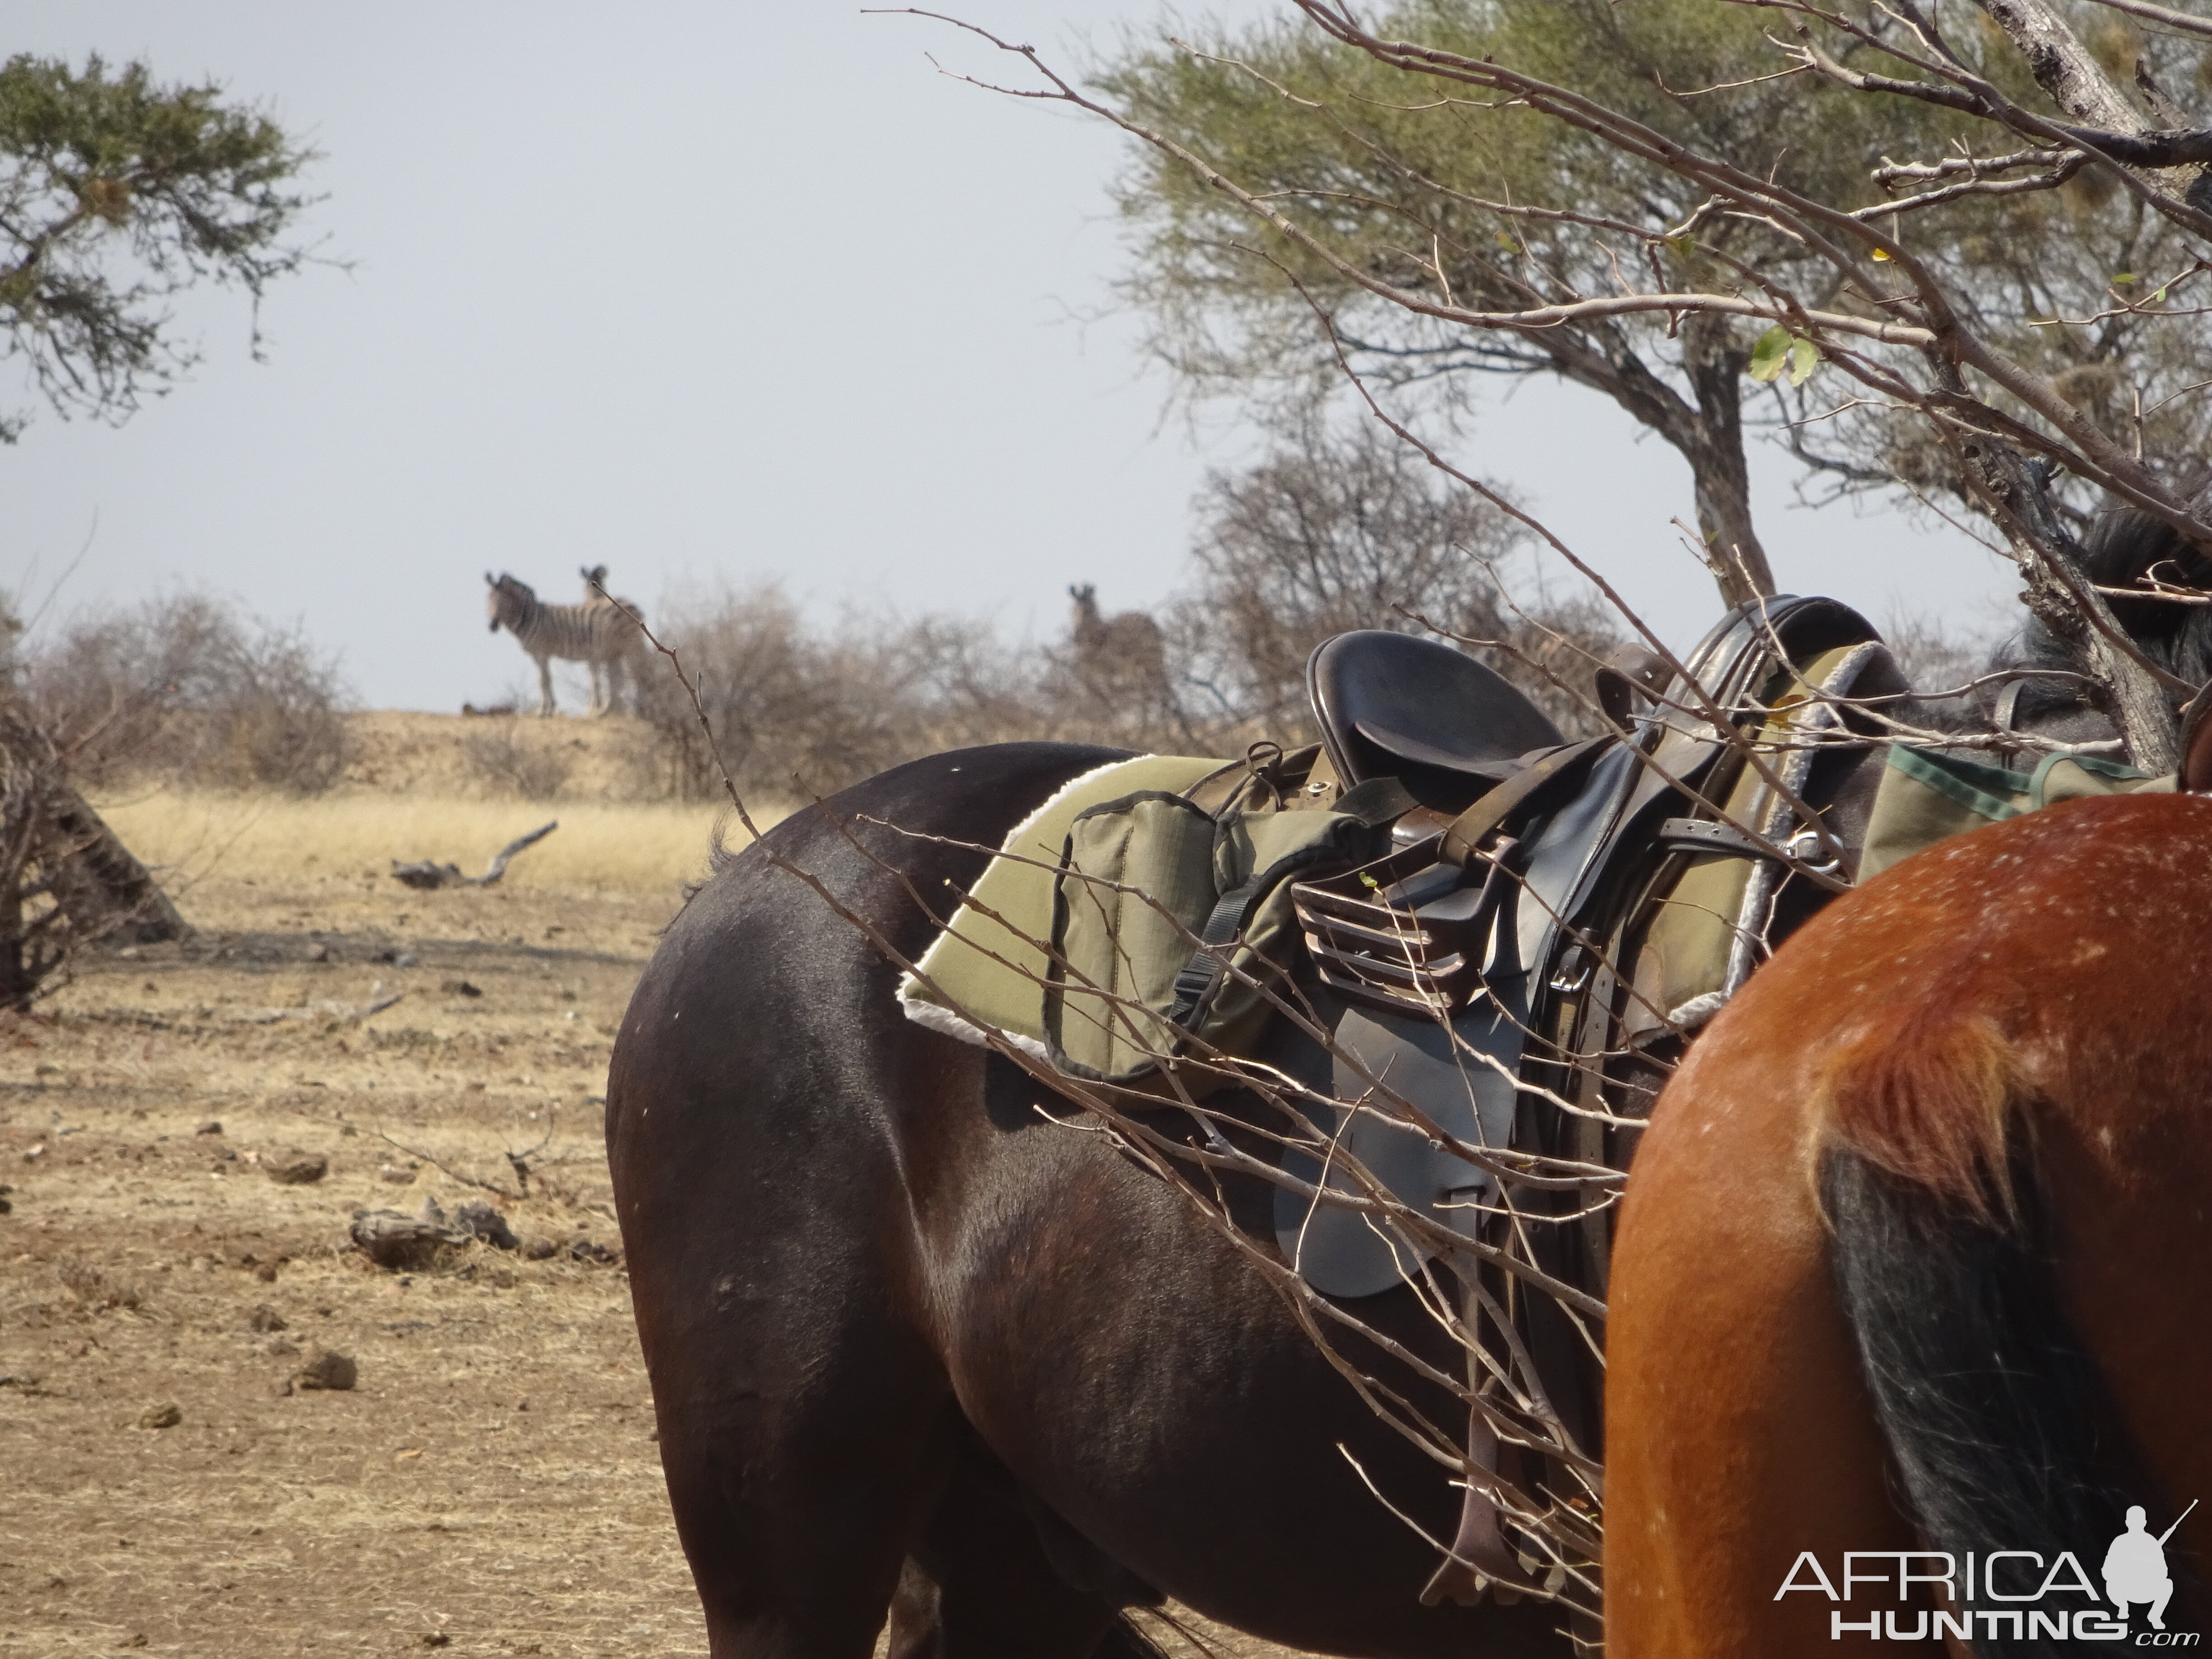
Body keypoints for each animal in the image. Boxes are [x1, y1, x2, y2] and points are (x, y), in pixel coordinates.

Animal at [487, 571, 646, 717]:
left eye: (504, 601)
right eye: (488, 600)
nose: (492, 627)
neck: (531, 617)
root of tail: (635, 606)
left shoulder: (541, 652)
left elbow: (544, 681)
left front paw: (544, 711)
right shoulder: (538, 656)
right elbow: (545, 680)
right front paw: (549, 709)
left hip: (631, 645)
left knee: (637, 675)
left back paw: (638, 712)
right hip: (614, 652)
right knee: (617, 681)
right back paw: (605, 711)